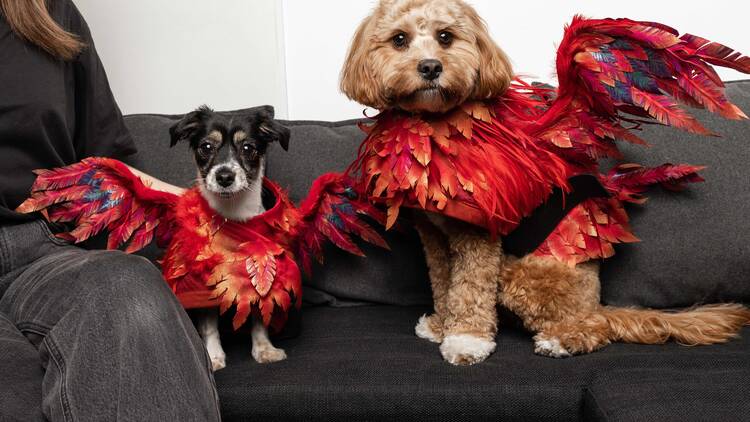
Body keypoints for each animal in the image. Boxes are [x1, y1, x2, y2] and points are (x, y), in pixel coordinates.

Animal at [170, 105, 290, 370]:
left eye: (248, 147)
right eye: (206, 146)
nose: (225, 176)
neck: (233, 215)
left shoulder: (260, 278)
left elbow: (259, 319)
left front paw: (264, 349)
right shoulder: (202, 287)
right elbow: (209, 326)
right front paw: (214, 357)